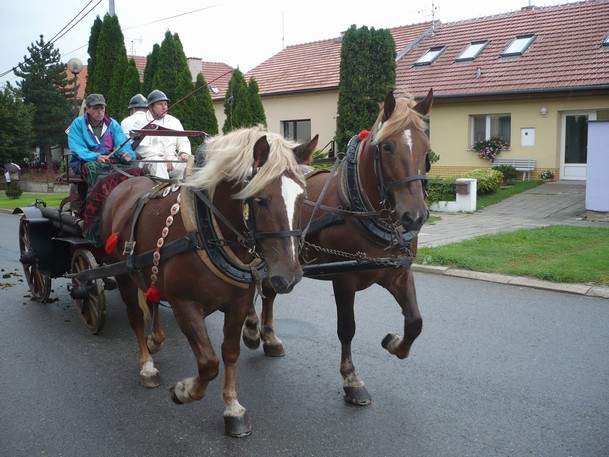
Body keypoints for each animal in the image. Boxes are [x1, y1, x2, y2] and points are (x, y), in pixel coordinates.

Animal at [98, 126, 318, 436]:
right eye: (260, 199)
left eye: (302, 197)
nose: (288, 276)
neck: (207, 229)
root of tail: (124, 185)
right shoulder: (185, 305)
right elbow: (209, 362)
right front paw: (184, 391)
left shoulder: (238, 304)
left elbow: (230, 353)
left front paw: (233, 408)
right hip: (123, 274)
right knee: (135, 317)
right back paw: (147, 365)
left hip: (148, 268)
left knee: (152, 298)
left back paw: (156, 339)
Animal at [242, 89, 432, 402]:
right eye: (388, 146)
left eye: (425, 147)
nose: (414, 215)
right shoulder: (344, 280)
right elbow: (347, 329)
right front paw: (351, 379)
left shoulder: (399, 272)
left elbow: (415, 321)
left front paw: (394, 343)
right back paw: (251, 330)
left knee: (268, 291)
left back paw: (269, 338)